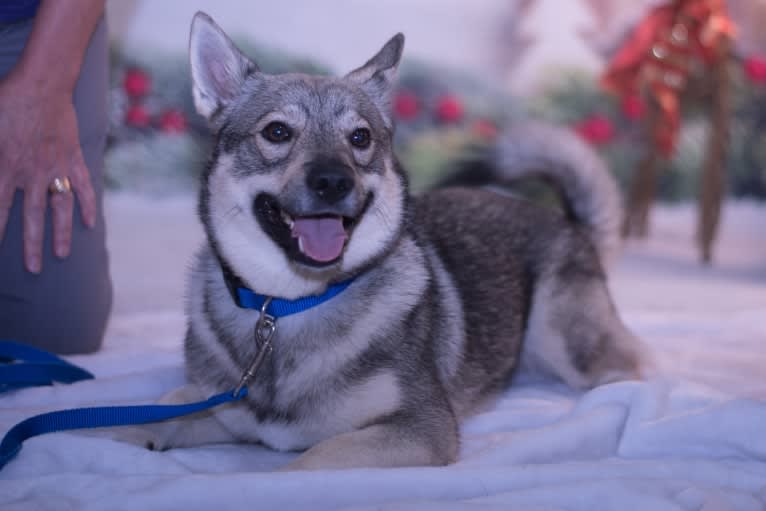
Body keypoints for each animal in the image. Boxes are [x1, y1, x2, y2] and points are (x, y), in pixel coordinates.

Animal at [121, 11, 648, 472]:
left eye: (360, 137)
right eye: (277, 131)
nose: (332, 182)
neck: (285, 308)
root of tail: (571, 222)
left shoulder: (421, 428)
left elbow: (307, 463)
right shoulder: (215, 405)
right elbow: (152, 413)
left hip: (563, 337)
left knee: (631, 366)